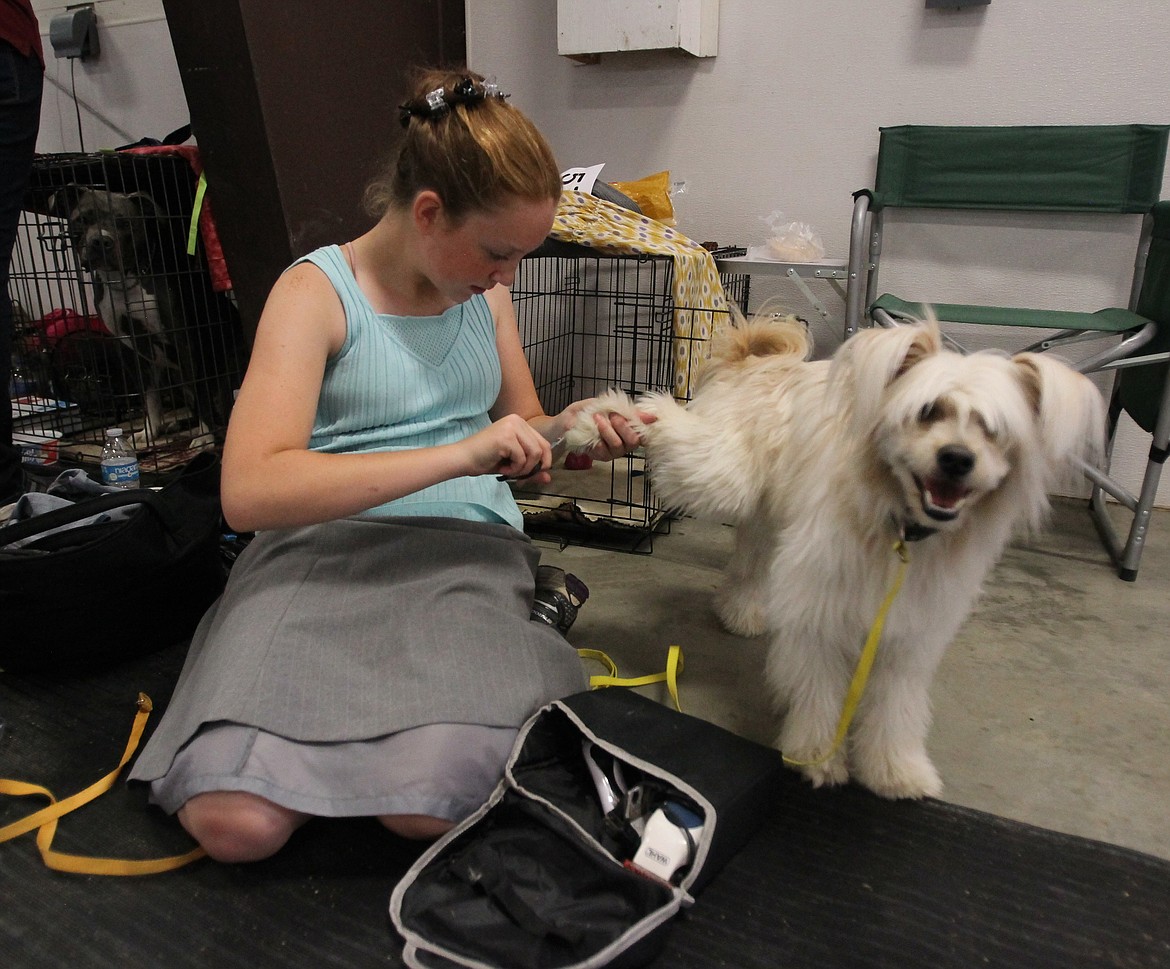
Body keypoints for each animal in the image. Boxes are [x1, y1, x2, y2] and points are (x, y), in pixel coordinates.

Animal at [48, 183, 219, 449]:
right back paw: (176, 425)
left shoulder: (184, 342)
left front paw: (206, 437)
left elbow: (202, 395)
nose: (100, 241)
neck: (123, 283)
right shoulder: (131, 350)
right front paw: (148, 433)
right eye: (82, 219)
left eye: (124, 222)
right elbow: (149, 398)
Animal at [566, 313, 1104, 800]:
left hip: (770, 512)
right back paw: (604, 418)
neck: (897, 527)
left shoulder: (909, 636)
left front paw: (896, 771)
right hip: (722, 472)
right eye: (927, 410)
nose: (956, 458)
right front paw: (816, 758)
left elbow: (897, 709)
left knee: (749, 557)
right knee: (672, 430)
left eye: (993, 429)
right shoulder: (821, 619)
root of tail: (758, 360)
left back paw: (742, 611)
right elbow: (819, 694)